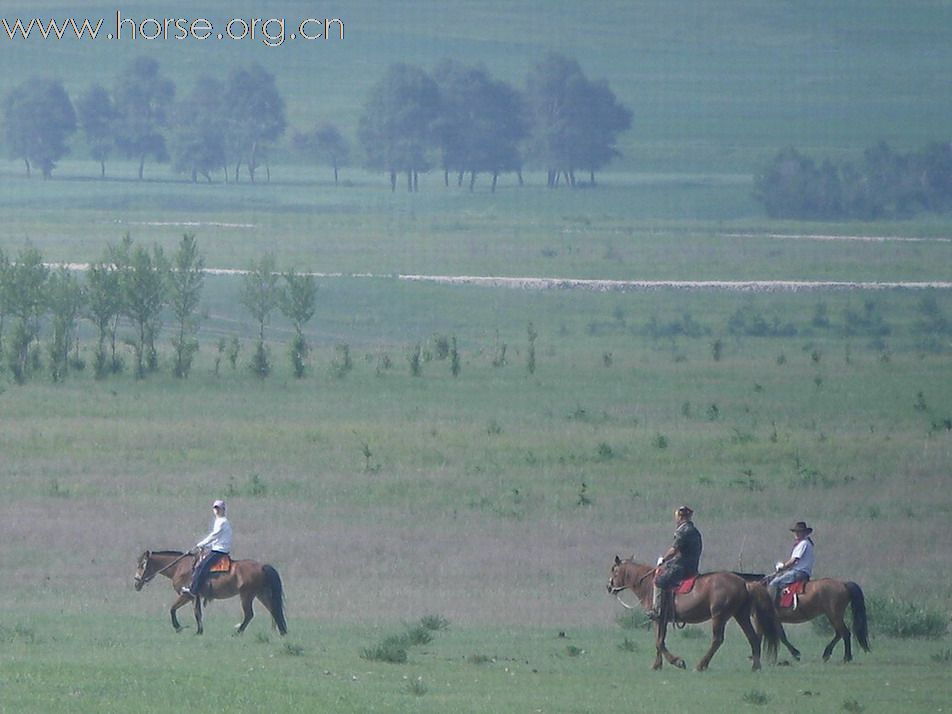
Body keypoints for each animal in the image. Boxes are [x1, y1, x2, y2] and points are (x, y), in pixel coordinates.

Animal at [135, 548, 286, 636]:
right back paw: (282, 632)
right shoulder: (195, 597)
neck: (179, 567)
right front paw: (199, 631)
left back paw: (237, 632)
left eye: (142, 565)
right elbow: (197, 614)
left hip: (247, 595)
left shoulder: (186, 595)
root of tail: (262, 566)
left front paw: (178, 627)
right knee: (274, 610)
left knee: (249, 614)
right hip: (261, 594)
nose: (136, 583)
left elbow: (172, 609)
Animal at [608, 556, 780, 668]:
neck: (649, 585)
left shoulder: (658, 619)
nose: (609, 587)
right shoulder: (661, 621)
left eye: (614, 571)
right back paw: (756, 667)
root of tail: (744, 583)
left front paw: (677, 662)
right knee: (753, 637)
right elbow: (659, 641)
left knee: (717, 640)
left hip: (719, 617)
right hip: (741, 615)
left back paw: (700, 665)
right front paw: (657, 665)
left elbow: (659, 642)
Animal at [740, 572, 872, 660]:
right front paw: (795, 653)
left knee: (845, 633)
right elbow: (782, 636)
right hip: (833, 616)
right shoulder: (775, 620)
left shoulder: (759, 619)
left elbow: (759, 635)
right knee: (840, 633)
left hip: (834, 615)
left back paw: (846, 657)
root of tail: (844, 584)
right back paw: (827, 653)